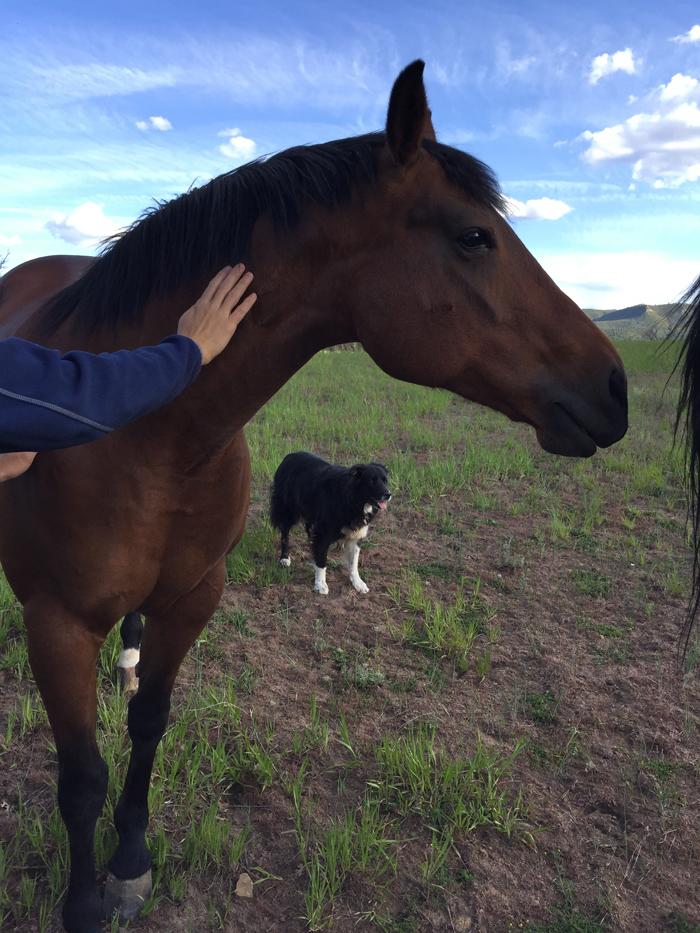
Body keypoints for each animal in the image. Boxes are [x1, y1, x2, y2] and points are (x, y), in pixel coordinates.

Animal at [270, 454, 392, 596]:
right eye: (371, 481)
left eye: (385, 481)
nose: (388, 494)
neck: (352, 499)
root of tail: (289, 456)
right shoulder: (323, 532)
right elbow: (322, 560)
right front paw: (320, 584)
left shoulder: (356, 535)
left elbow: (353, 562)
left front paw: (358, 583)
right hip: (286, 509)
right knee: (285, 533)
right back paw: (284, 558)